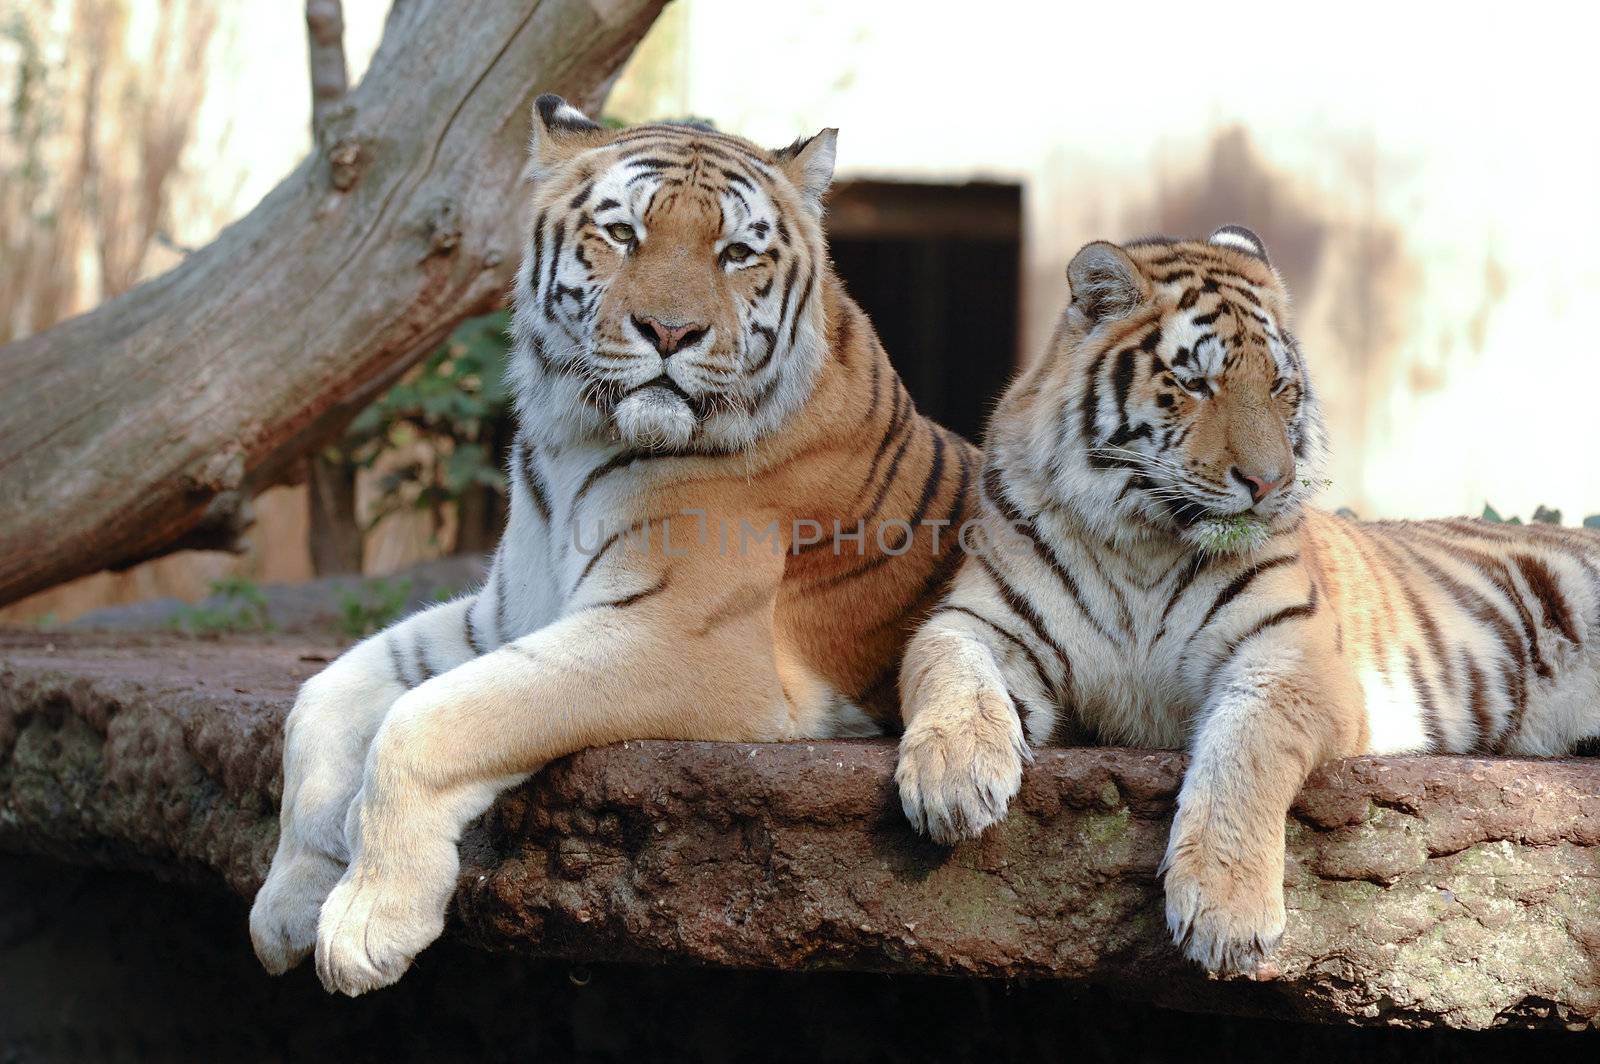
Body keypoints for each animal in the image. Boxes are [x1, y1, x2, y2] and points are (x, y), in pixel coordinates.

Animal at [249, 95, 972, 992]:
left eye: (736, 253)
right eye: (624, 233)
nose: (670, 331)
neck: (574, 438)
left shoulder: (676, 635)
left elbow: (429, 718)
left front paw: (366, 920)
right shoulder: (505, 615)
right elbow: (324, 698)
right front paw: (286, 904)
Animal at [896, 228, 1600, 972]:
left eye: (1280, 387)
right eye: (1195, 384)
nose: (1270, 483)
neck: (1144, 541)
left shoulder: (1292, 655)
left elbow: (1244, 749)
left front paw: (1226, 913)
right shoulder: (981, 619)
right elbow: (947, 666)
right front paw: (951, 777)